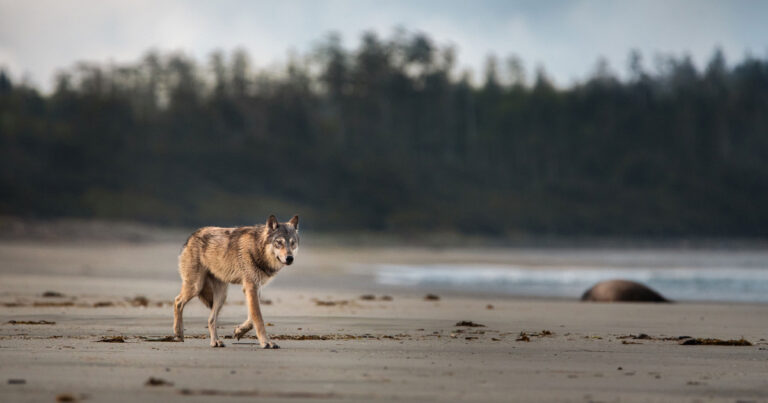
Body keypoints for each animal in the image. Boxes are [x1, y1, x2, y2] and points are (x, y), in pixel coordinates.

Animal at [173, 215, 299, 348]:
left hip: (222, 296)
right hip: (196, 287)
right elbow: (258, 318)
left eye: (293, 243)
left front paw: (239, 331)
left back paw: (215, 342)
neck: (256, 248)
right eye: (279, 242)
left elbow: (252, 317)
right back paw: (178, 333)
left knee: (211, 319)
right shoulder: (251, 287)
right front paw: (266, 342)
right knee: (178, 301)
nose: (290, 258)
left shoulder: (254, 288)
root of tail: (192, 235)